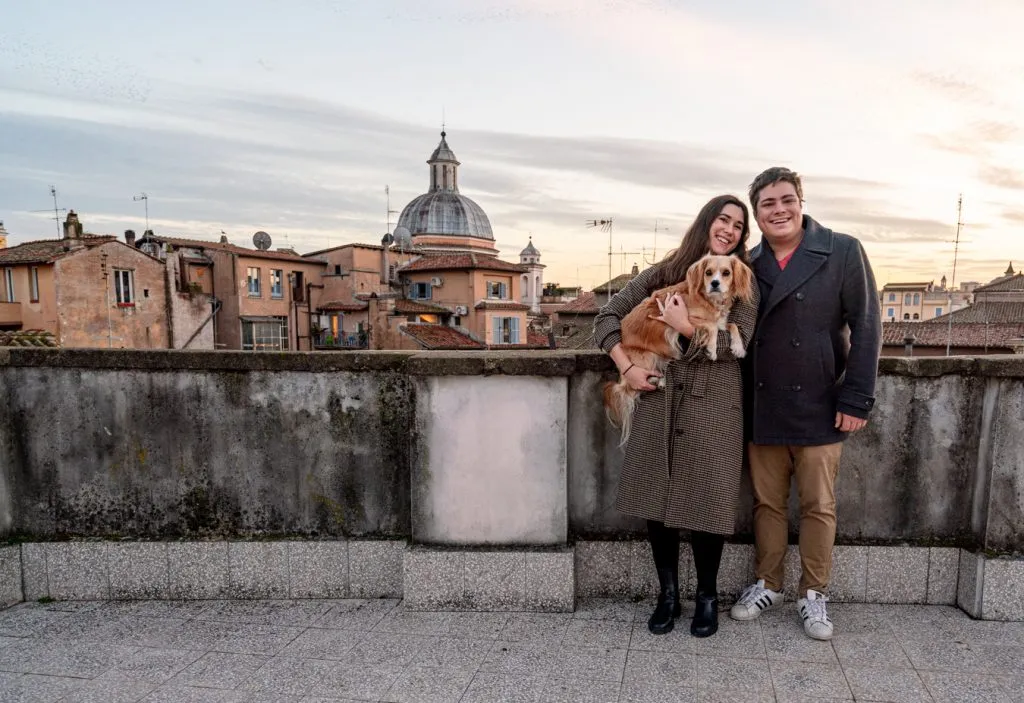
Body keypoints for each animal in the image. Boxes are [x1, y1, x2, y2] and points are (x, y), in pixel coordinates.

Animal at [598, 255, 753, 448]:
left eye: (726, 273)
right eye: (708, 272)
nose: (715, 283)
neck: (709, 299)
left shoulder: (721, 321)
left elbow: (732, 325)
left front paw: (738, 347)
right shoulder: (687, 320)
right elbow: (711, 326)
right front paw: (711, 349)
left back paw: (662, 380)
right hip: (647, 356)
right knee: (634, 384)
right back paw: (654, 380)